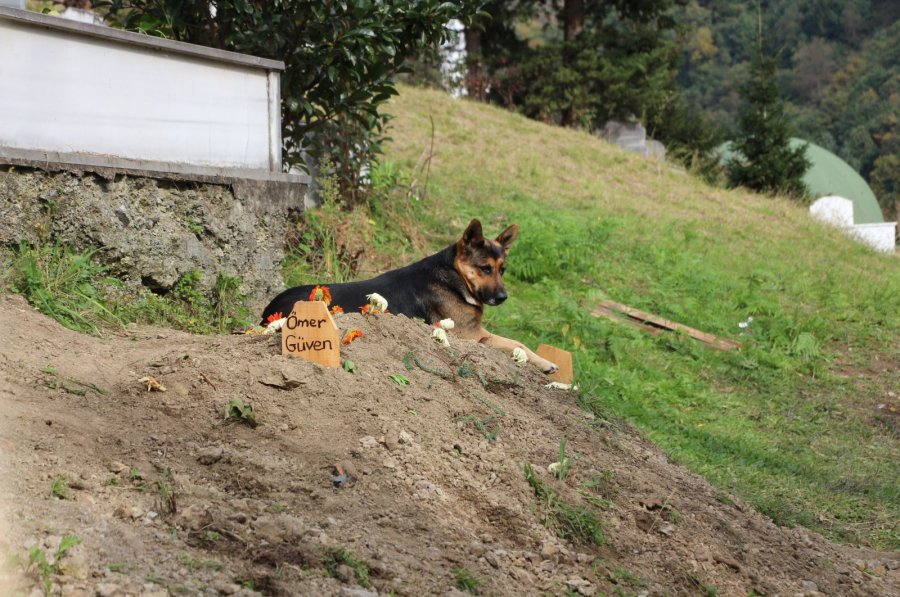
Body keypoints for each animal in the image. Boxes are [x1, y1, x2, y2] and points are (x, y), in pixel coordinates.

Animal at [256, 219, 560, 372]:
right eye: (485, 268)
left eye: (502, 270)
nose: (503, 297)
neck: (454, 275)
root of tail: (267, 312)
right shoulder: (471, 336)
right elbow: (517, 342)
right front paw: (546, 364)